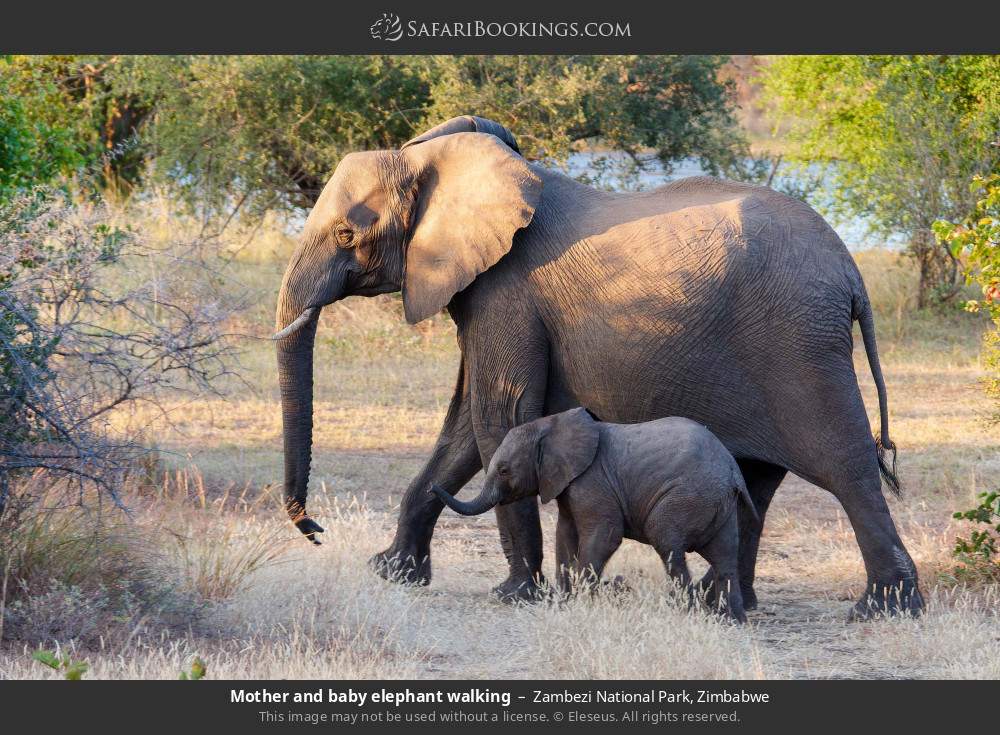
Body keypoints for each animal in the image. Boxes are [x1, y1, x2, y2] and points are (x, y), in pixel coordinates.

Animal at [432, 409, 757, 622]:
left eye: (503, 470)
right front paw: (563, 602)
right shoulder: (568, 484)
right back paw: (731, 620)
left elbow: (604, 537)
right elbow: (564, 536)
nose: (433, 487)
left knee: (667, 543)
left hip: (688, 496)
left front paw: (583, 602)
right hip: (719, 504)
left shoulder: (593, 482)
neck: (550, 425)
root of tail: (733, 472)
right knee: (725, 556)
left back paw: (684, 611)